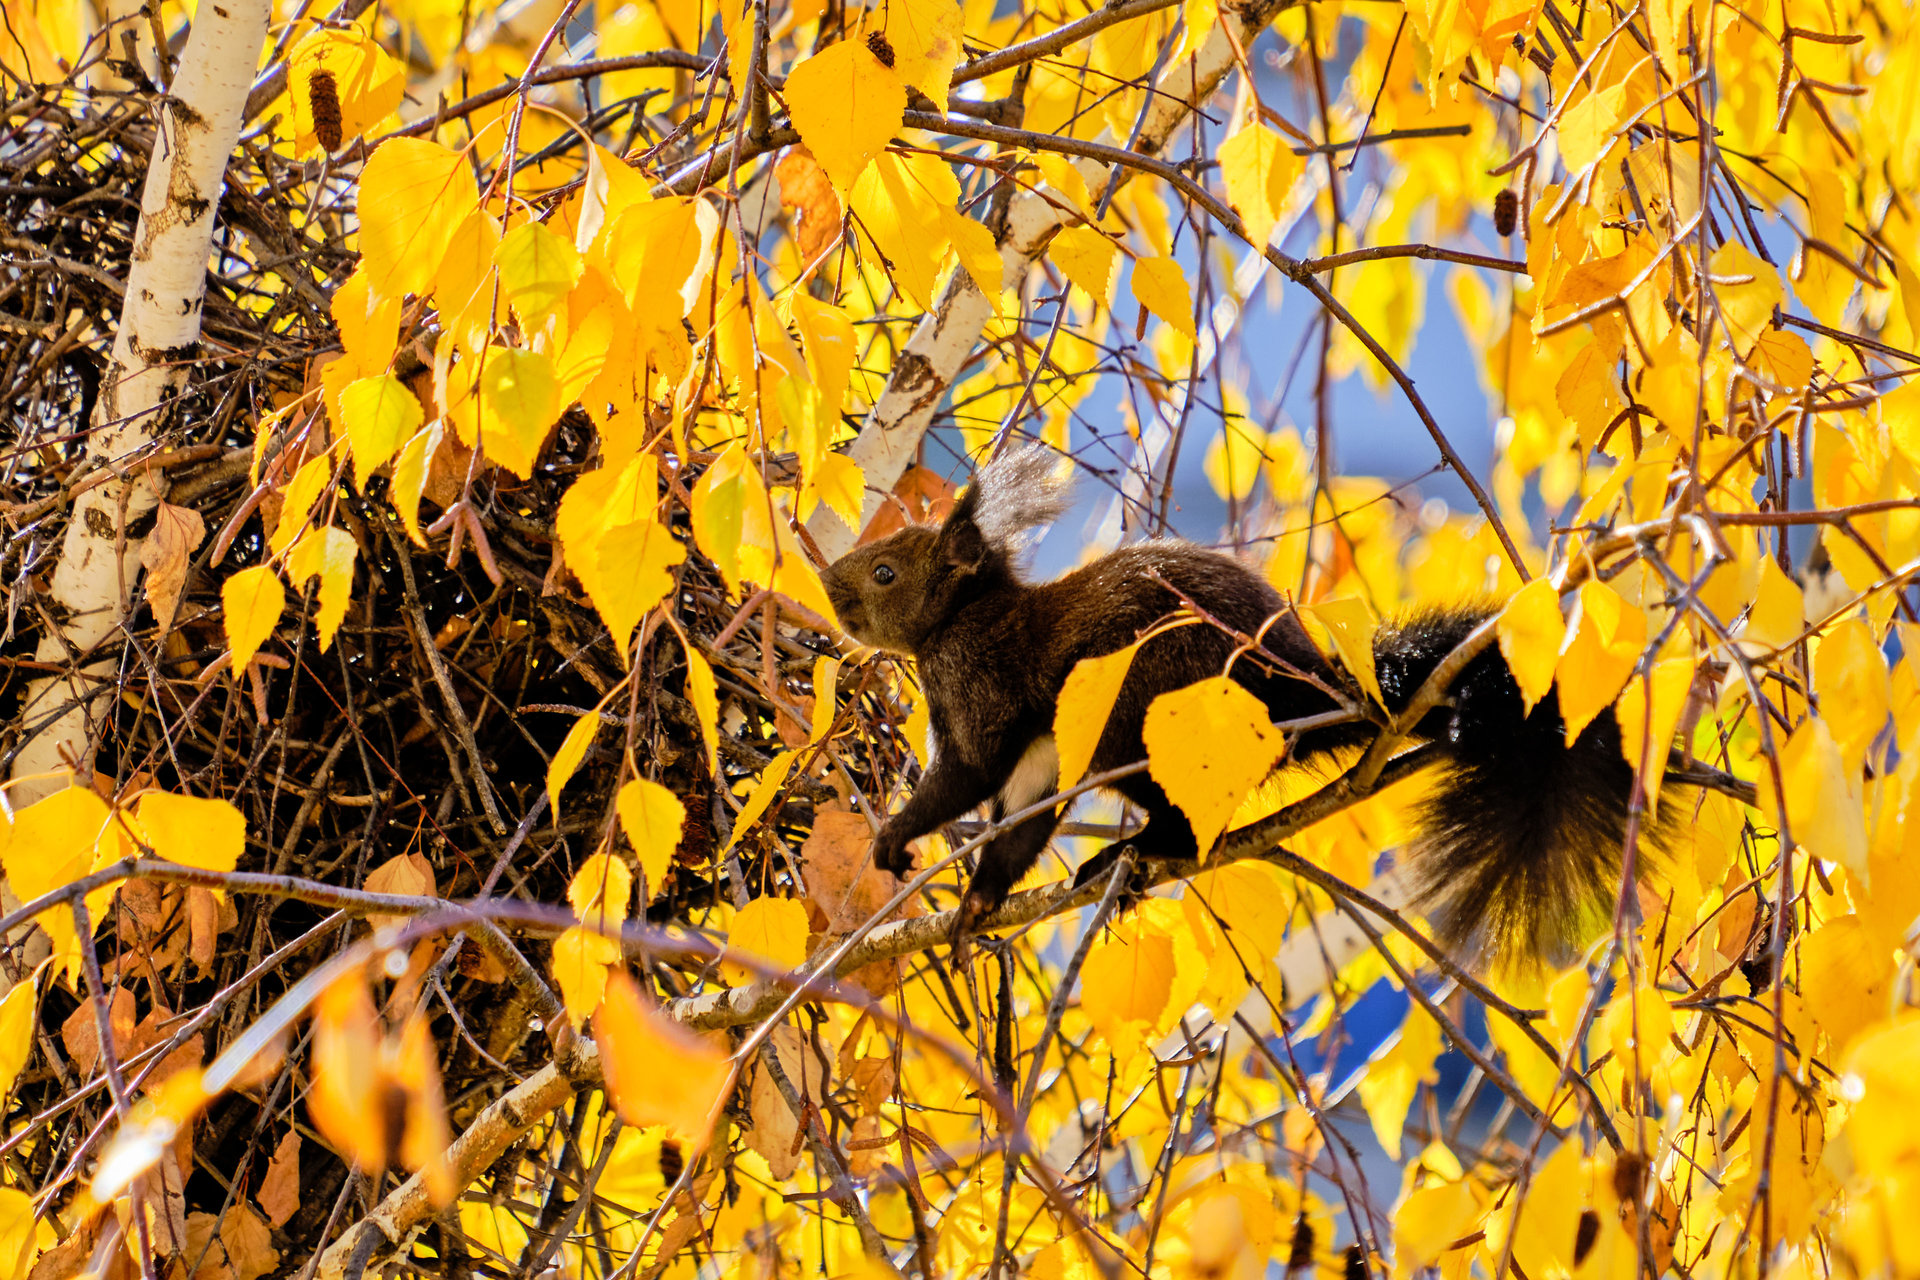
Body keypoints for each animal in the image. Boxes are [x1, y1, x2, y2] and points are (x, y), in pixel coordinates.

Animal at [825, 449, 1666, 959]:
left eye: (887, 571)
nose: (830, 585)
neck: (967, 615)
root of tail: (1298, 686)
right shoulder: (1043, 750)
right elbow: (1021, 822)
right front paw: (978, 901)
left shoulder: (982, 690)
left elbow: (962, 779)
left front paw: (894, 839)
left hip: (1144, 723)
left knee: (1188, 821)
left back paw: (1132, 854)